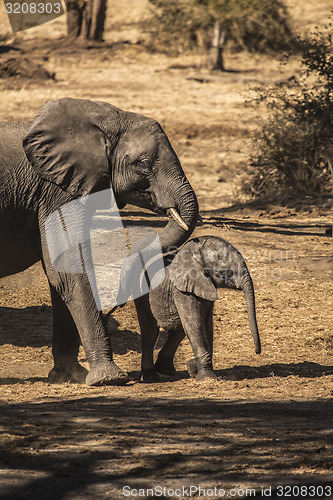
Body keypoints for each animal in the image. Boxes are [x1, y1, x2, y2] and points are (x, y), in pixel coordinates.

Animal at [0, 98, 197, 386]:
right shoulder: (55, 191)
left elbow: (62, 271)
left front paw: (71, 376)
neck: (103, 118)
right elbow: (68, 271)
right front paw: (108, 379)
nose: (115, 307)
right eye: (144, 164)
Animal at [134, 236, 260, 380]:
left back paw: (166, 370)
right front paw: (207, 377)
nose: (257, 352)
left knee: (178, 330)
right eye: (225, 272)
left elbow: (206, 324)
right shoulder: (182, 290)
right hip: (141, 295)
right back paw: (150, 376)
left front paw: (193, 368)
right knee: (150, 332)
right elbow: (195, 324)